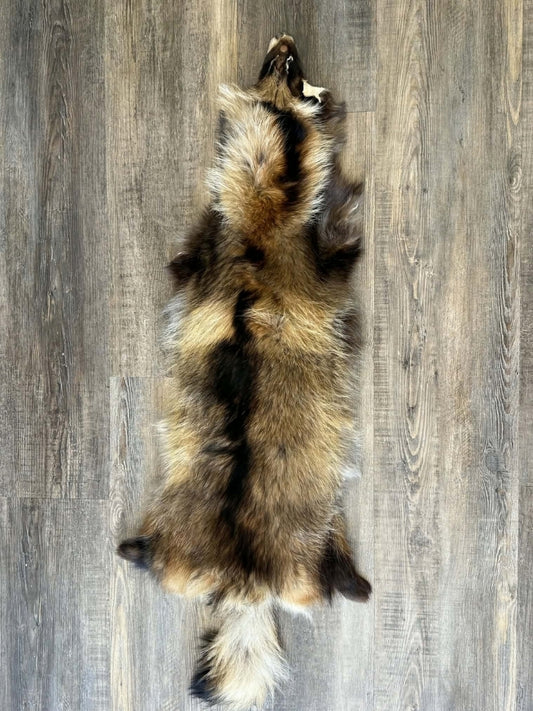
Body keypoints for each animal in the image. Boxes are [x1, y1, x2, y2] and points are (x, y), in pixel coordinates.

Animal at [118, 34, 371, 710]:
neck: (261, 217)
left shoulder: (211, 252)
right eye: (293, 74)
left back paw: (133, 548)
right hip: (305, 547)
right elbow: (340, 241)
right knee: (325, 571)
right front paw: (344, 193)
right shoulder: (306, 256)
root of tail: (243, 576)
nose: (284, 40)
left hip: (192, 545)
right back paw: (354, 581)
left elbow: (184, 259)